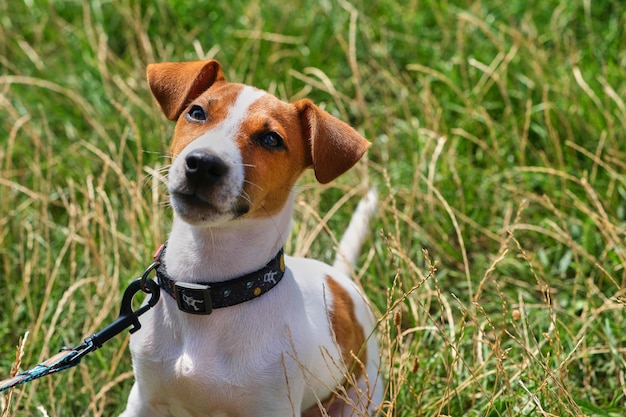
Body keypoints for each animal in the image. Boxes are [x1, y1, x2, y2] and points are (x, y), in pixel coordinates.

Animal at [118, 59, 380, 416]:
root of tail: (339, 278)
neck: (212, 291)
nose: (203, 164)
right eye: (197, 112)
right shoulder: (143, 401)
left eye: (271, 139)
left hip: (363, 395)